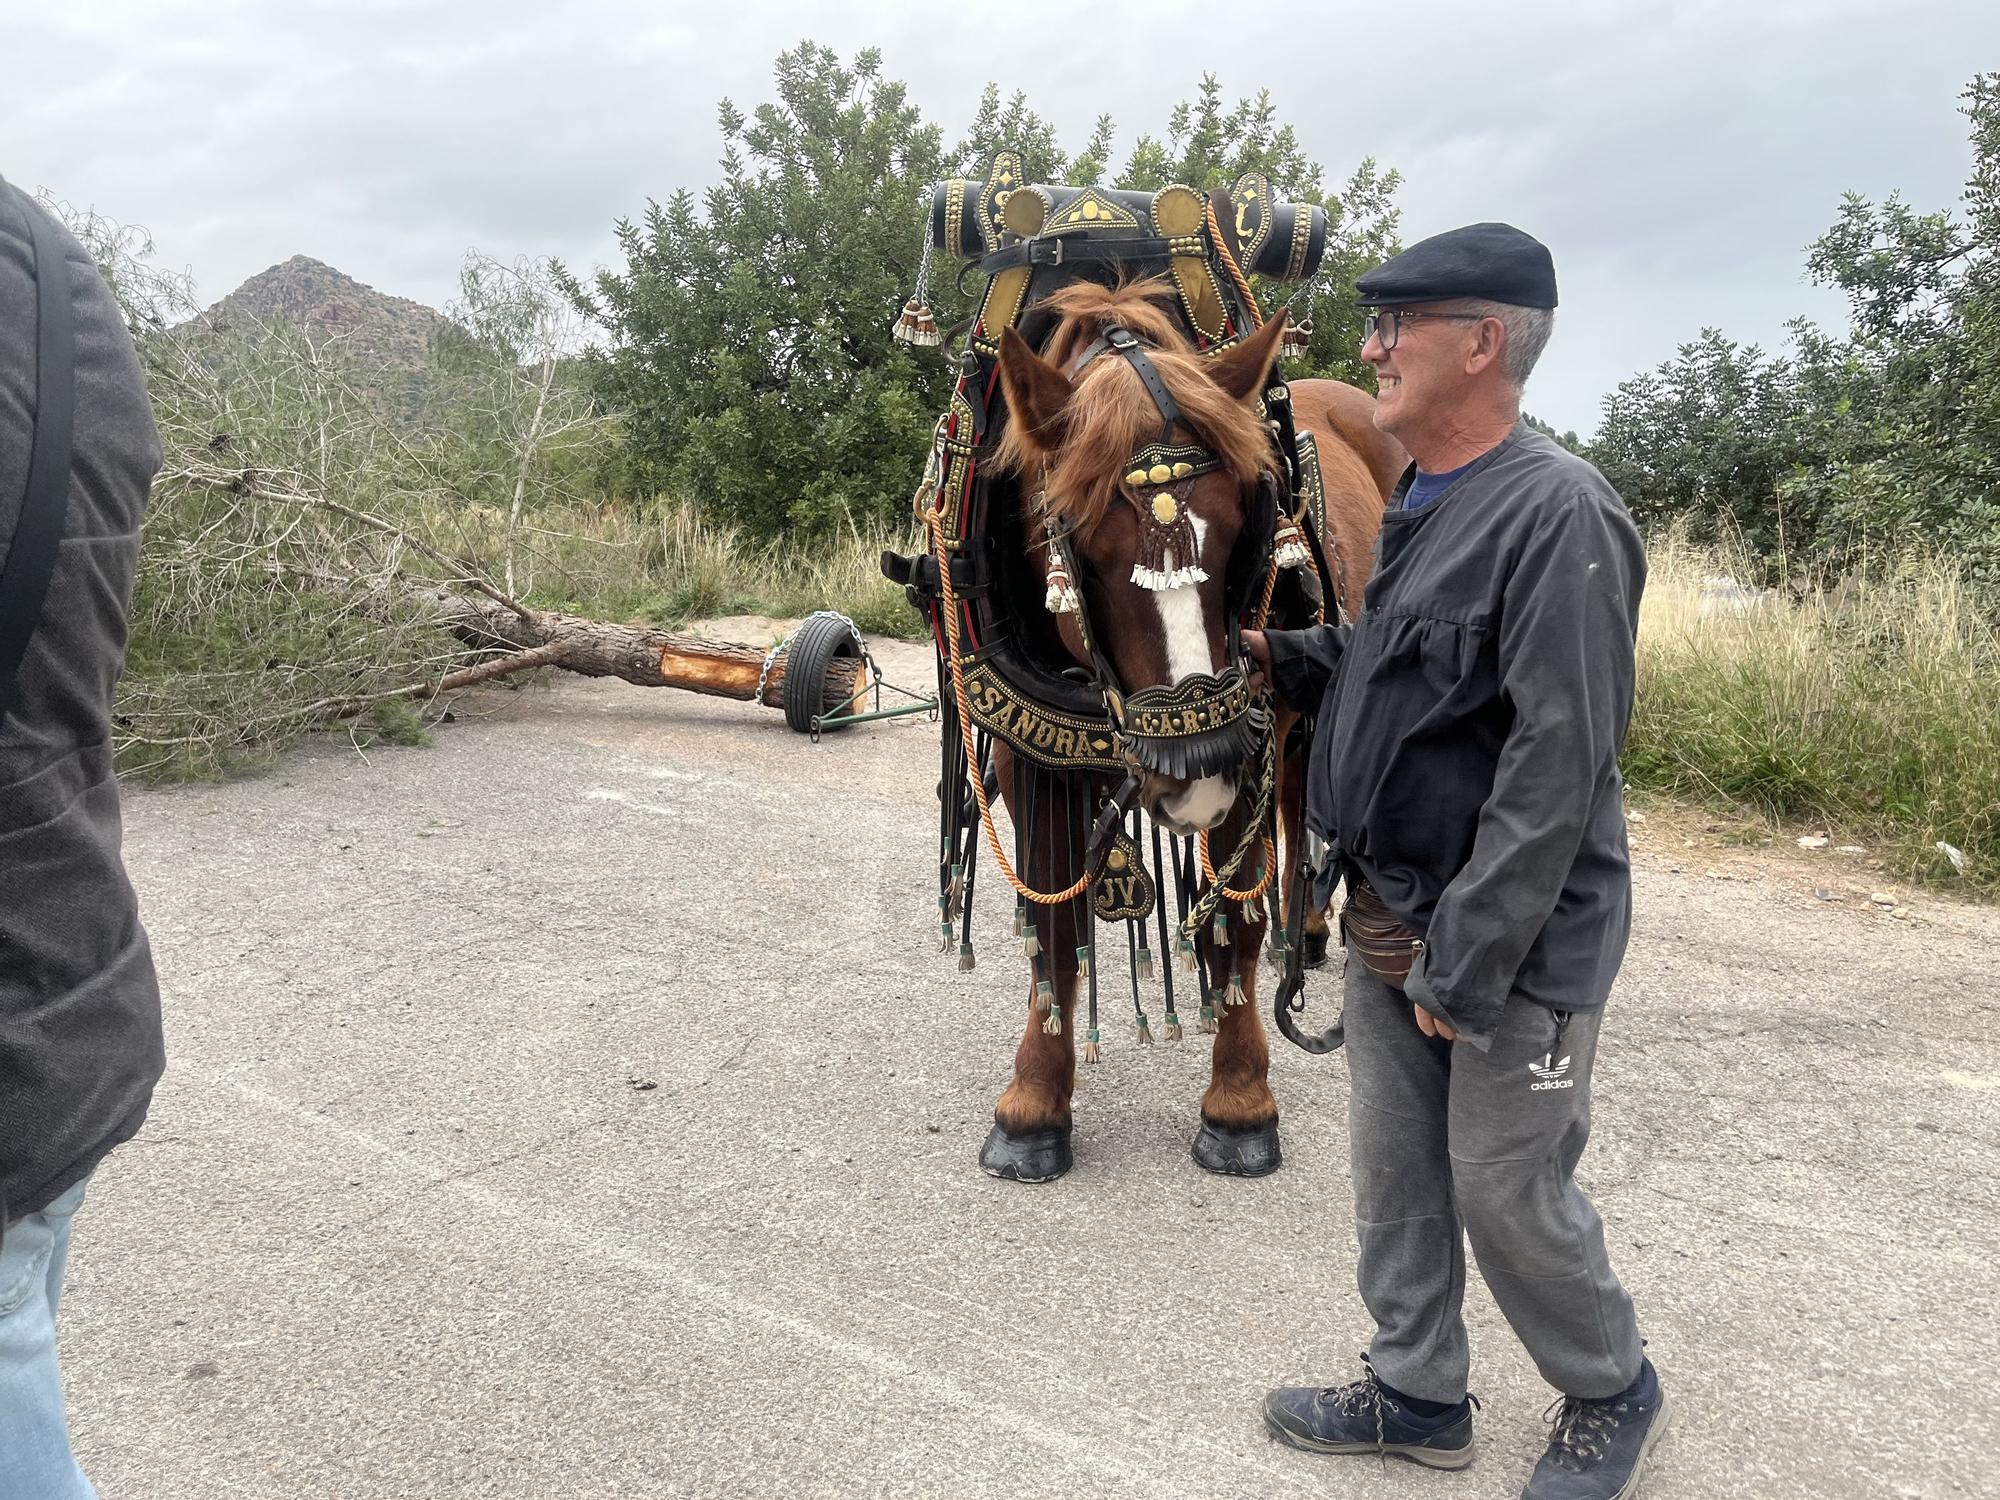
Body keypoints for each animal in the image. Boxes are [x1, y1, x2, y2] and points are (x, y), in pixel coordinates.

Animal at [944, 276, 1400, 1184]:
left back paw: (1310, 927)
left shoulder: (1255, 739)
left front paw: (1240, 1100)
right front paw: (1034, 1103)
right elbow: (1053, 925)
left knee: (1299, 810)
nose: (1199, 767)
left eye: (1243, 530)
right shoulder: (1027, 756)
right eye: (1077, 538)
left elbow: (1239, 923)